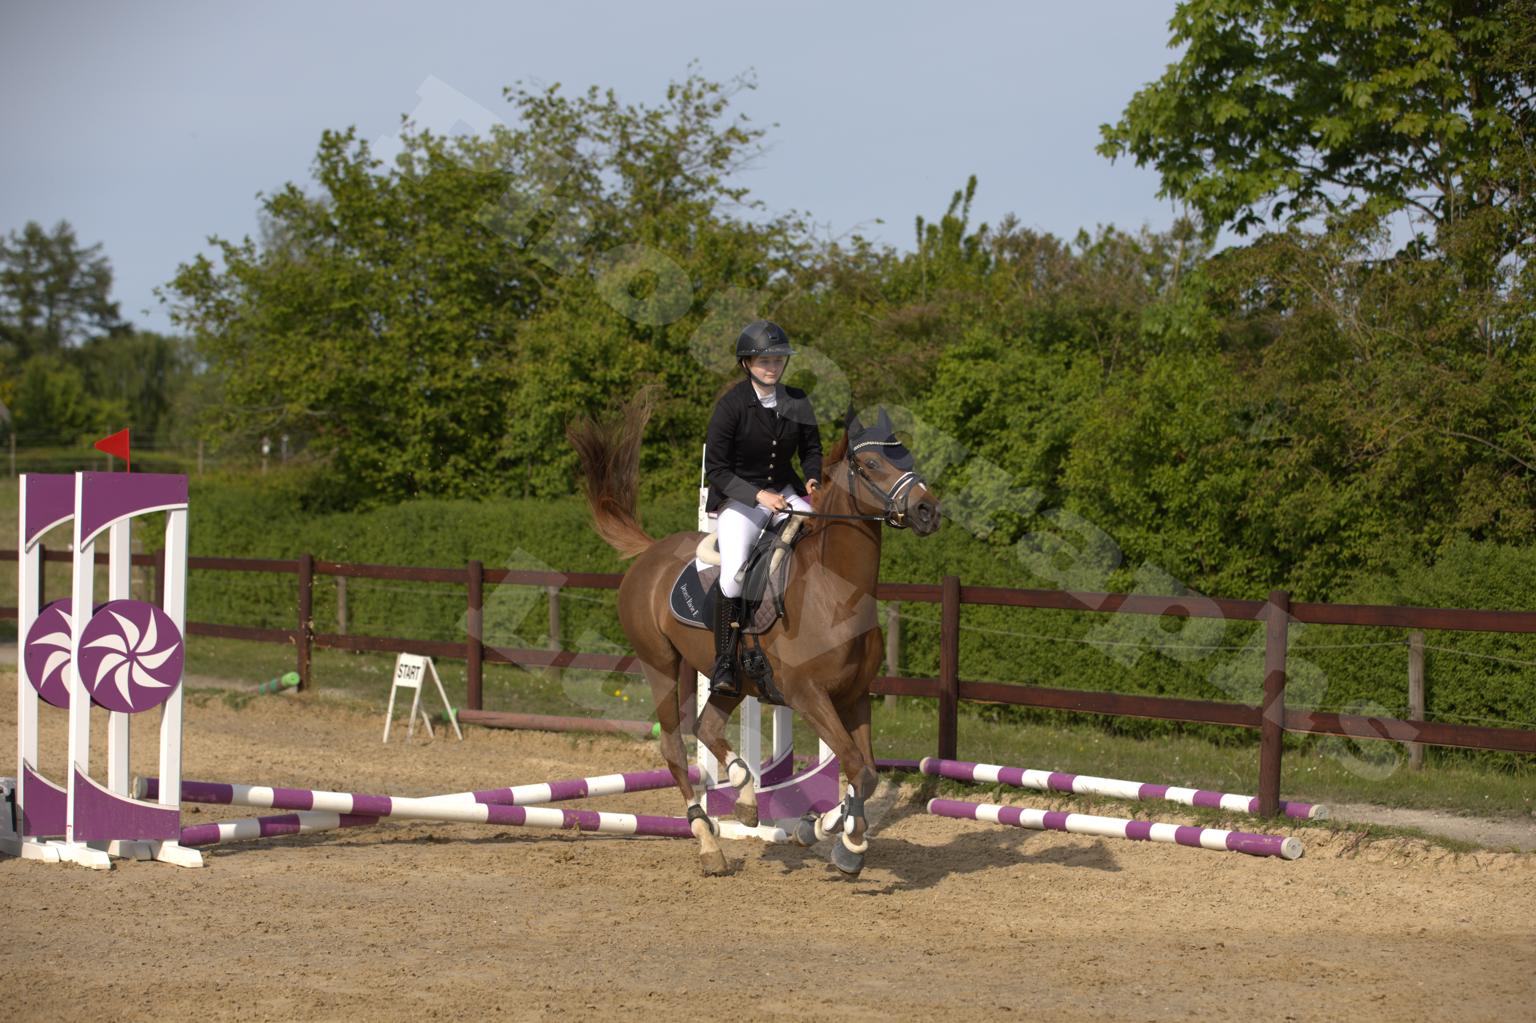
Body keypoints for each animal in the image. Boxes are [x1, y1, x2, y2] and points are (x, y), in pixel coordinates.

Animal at [568, 392, 941, 876]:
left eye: (907, 457)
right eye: (873, 463)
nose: (929, 511)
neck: (836, 591)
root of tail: (651, 552)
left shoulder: (854, 696)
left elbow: (867, 773)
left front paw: (832, 833)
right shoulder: (808, 695)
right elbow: (857, 766)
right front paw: (842, 841)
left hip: (731, 679)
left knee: (707, 727)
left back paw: (745, 795)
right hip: (661, 665)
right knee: (674, 745)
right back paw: (710, 842)